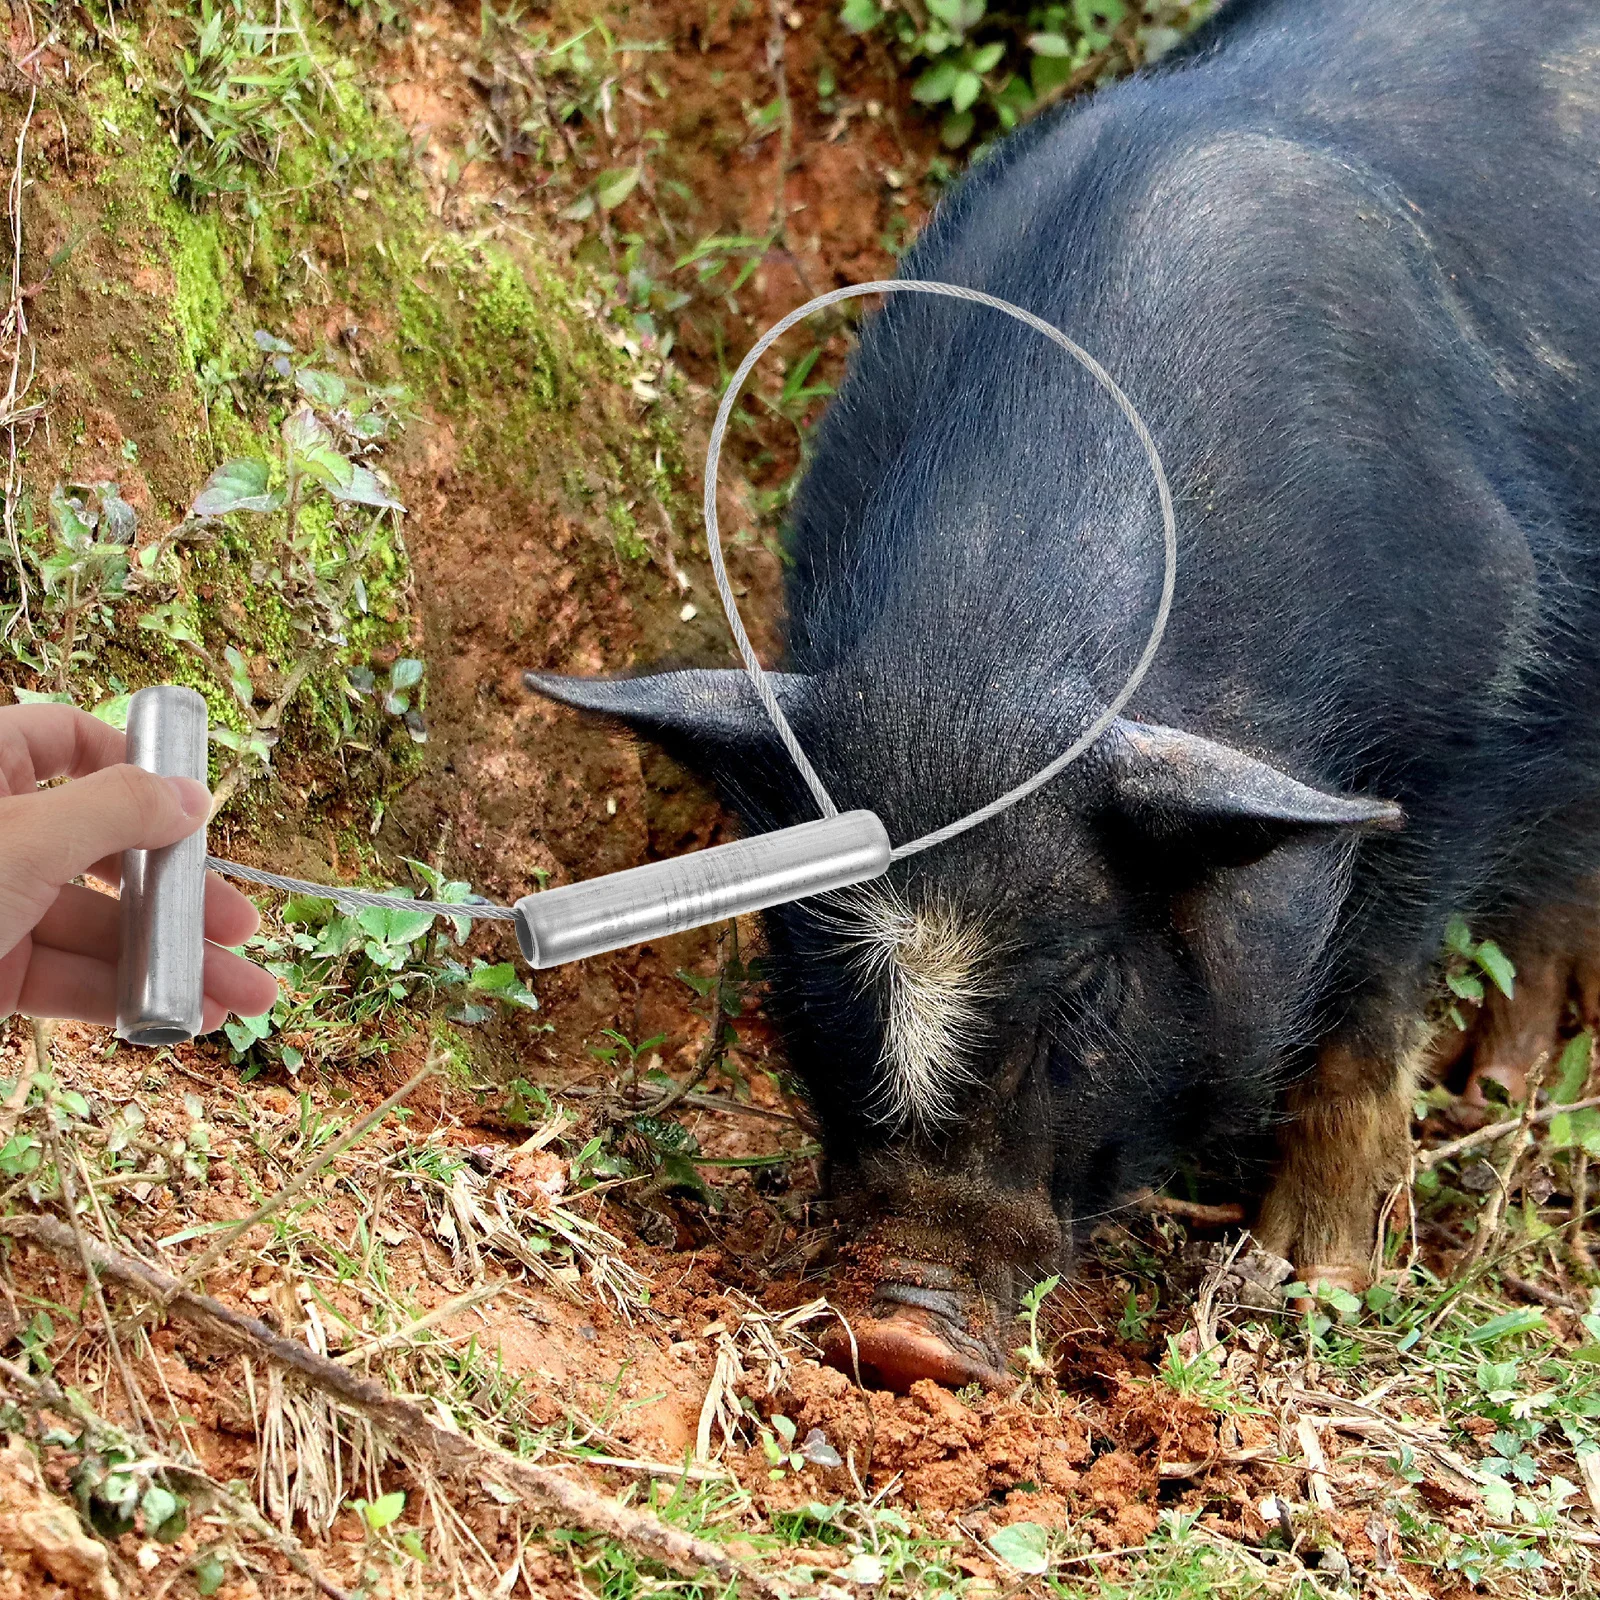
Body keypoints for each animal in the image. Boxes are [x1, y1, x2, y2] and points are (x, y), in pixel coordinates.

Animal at [526, 0, 1600, 1388]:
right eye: (811, 958)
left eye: (1087, 988)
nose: (901, 1332)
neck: (983, 656)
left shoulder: (1472, 693)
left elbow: (1368, 1008)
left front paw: (1312, 1285)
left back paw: (1508, 1081)